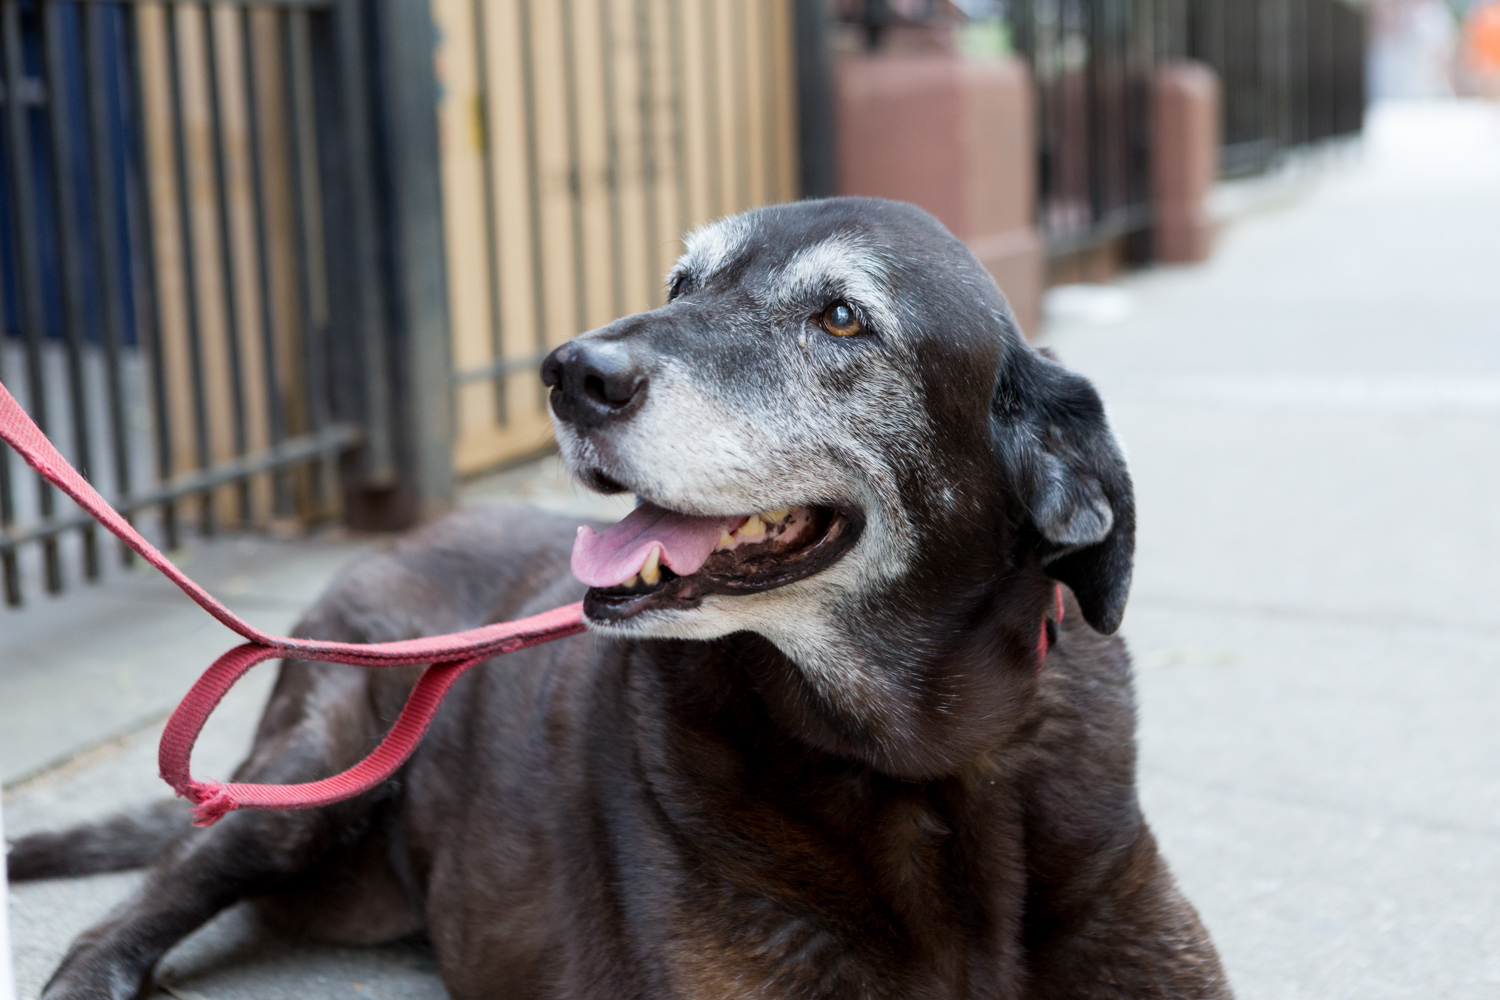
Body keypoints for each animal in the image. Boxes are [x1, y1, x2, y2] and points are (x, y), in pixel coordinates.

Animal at [8, 197, 1230, 1000]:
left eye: (842, 317)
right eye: (681, 283)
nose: (569, 372)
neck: (913, 765)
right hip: (315, 767)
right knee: (124, 920)